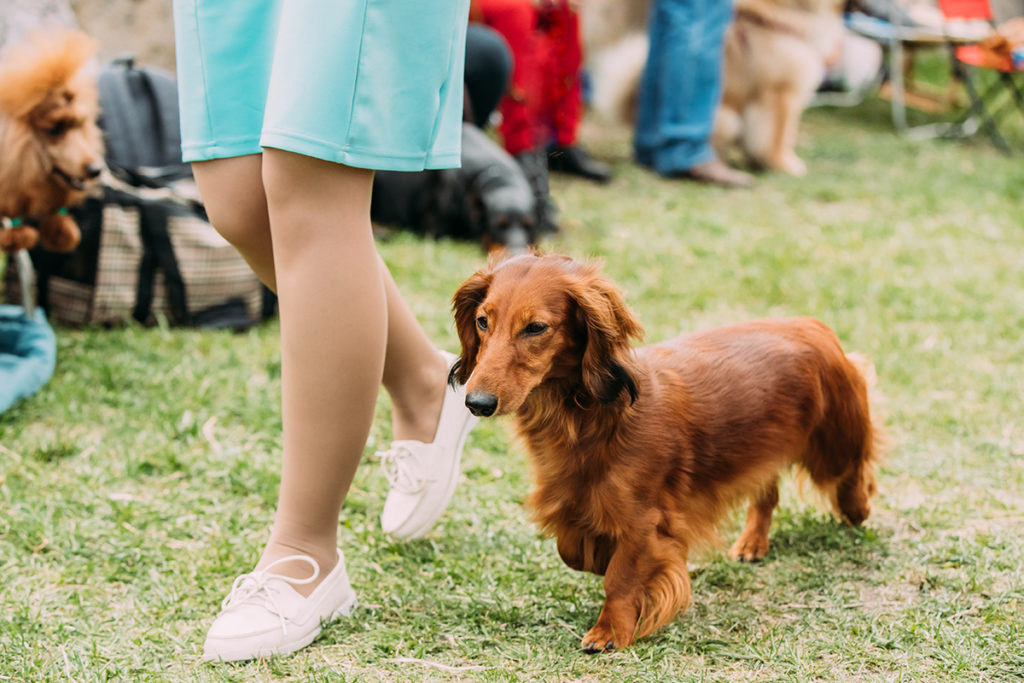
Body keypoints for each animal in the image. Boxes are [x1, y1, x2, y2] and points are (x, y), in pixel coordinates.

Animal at [448, 252, 880, 651]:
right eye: (483, 321)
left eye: (535, 327)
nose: (477, 403)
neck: (589, 419)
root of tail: (807, 324)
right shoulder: (571, 500)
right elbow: (573, 549)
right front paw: (599, 559)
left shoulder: (645, 520)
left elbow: (620, 577)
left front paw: (610, 631)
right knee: (767, 492)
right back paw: (752, 542)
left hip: (835, 445)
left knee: (854, 474)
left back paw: (857, 509)